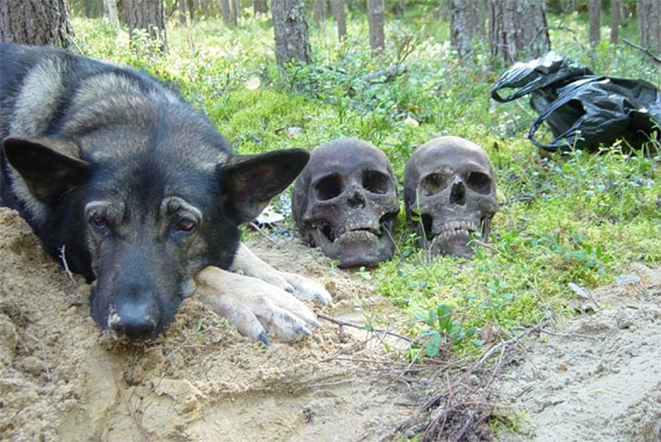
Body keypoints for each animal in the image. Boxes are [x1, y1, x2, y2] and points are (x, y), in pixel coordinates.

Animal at [0, 43, 330, 344]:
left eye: (185, 225)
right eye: (98, 221)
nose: (132, 326)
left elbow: (241, 252)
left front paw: (282, 278)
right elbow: (205, 271)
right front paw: (260, 298)